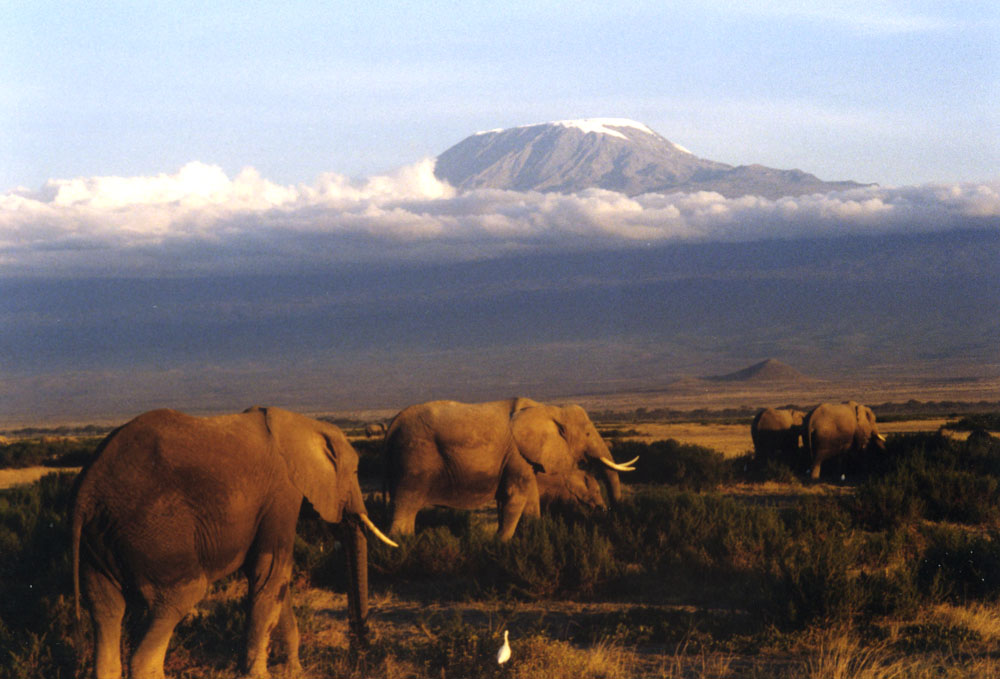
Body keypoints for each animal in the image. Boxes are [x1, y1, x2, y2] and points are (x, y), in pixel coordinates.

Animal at [70, 406, 396, 679]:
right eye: (355, 472)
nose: (360, 652)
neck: (304, 424)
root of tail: (86, 491)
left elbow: (272, 580)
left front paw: (293, 670)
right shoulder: (281, 493)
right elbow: (273, 570)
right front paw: (260, 675)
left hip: (100, 540)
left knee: (105, 610)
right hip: (154, 529)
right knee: (180, 596)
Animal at [382, 398, 632, 540]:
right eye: (588, 434)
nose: (608, 512)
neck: (550, 410)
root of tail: (393, 424)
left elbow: (528, 498)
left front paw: (534, 537)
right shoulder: (517, 453)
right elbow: (516, 496)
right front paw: (501, 542)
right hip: (415, 459)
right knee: (407, 503)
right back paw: (401, 545)